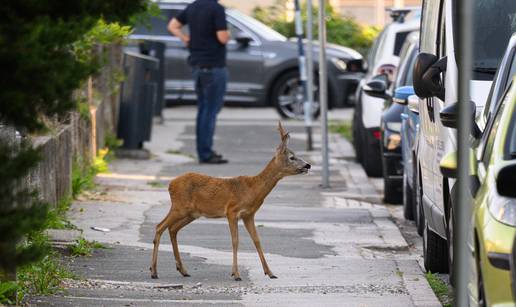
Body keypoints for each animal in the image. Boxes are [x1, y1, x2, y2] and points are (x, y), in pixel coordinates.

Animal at [149, 121, 310, 280]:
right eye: (292, 157)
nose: (308, 165)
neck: (253, 189)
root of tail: (170, 184)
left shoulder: (248, 215)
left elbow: (257, 240)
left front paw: (270, 272)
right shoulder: (232, 211)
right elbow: (235, 241)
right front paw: (236, 274)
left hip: (191, 214)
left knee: (172, 229)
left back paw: (182, 270)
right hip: (179, 207)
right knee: (159, 226)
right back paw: (154, 271)